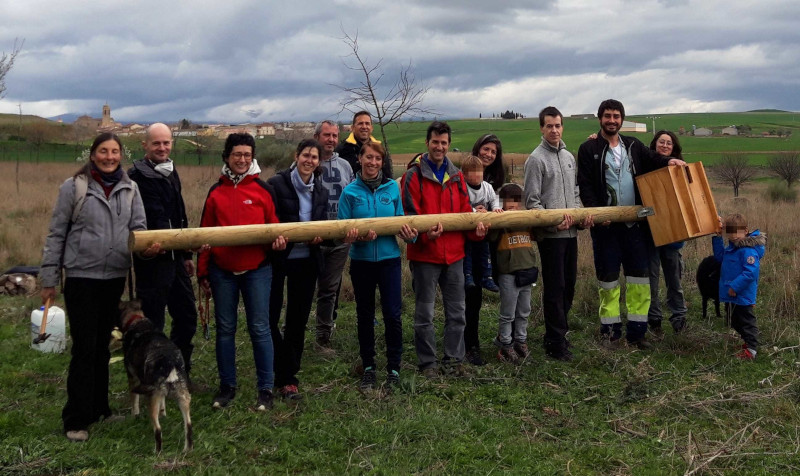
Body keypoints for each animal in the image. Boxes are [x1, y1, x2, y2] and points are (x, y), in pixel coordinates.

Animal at [119, 302, 192, 454]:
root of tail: (170, 363)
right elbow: (163, 404)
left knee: (158, 430)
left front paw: (134, 415)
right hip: (183, 396)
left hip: (152, 398)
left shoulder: (132, 378)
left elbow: (134, 400)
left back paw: (157, 452)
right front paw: (163, 413)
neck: (137, 320)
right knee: (188, 426)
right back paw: (187, 449)